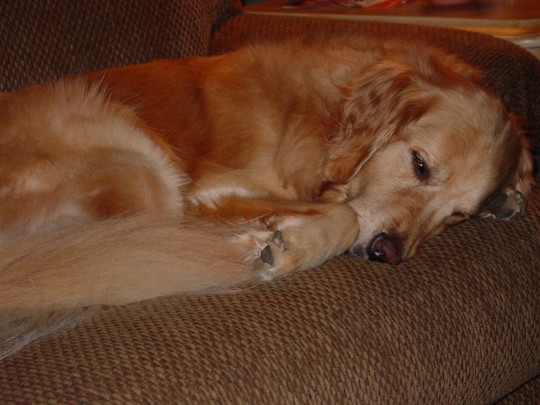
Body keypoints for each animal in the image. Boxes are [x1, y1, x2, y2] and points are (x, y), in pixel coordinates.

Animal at [0, 38, 534, 358]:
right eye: (420, 164)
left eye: (457, 217)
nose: (389, 252)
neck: (325, 115)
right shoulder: (209, 190)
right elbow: (344, 215)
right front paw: (288, 246)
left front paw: (510, 197)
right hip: (139, 164)